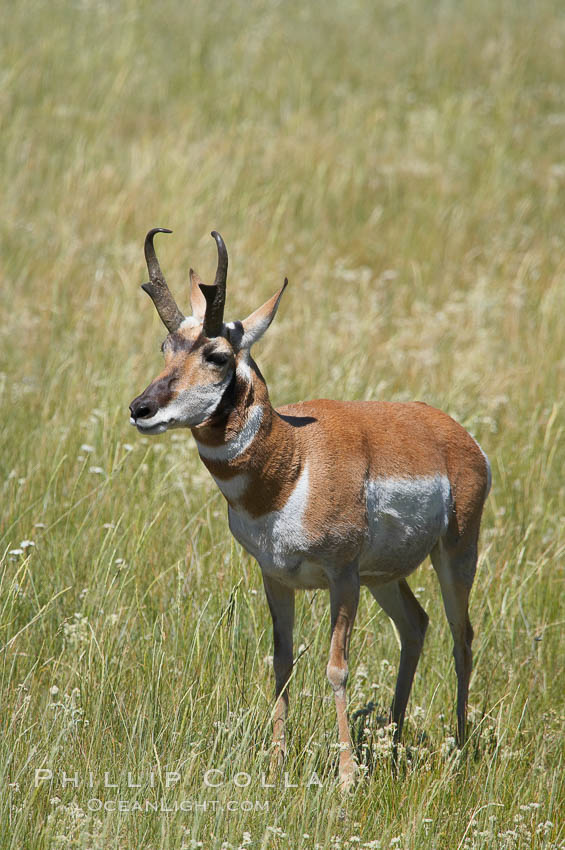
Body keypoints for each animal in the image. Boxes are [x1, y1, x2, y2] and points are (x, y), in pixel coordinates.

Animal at [128, 229, 490, 784]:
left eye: (217, 355)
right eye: (165, 346)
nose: (140, 409)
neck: (293, 463)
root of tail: (453, 431)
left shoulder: (341, 577)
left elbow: (336, 667)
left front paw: (345, 776)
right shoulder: (276, 577)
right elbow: (281, 661)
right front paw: (276, 764)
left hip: (453, 555)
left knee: (461, 636)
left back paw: (461, 745)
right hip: (383, 577)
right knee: (415, 625)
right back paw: (392, 738)